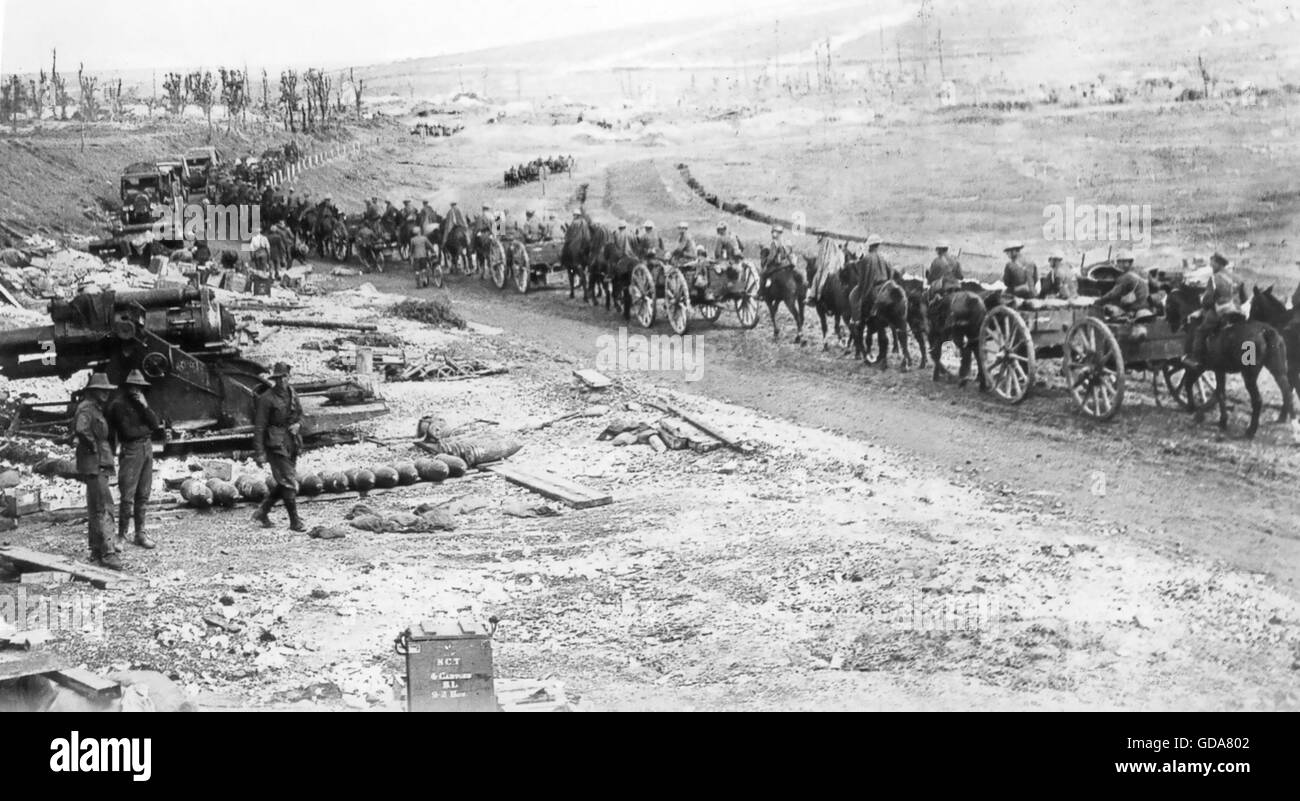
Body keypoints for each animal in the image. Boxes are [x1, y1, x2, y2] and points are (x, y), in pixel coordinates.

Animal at [1170, 284, 1289, 436]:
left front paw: (1202, 412)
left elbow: (1205, 388)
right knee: (1286, 391)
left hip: (1249, 376)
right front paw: (1217, 418)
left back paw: (1251, 431)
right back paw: (1284, 418)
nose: (1173, 326)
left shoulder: (1202, 367)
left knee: (1257, 400)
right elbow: (1218, 391)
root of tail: (1266, 332)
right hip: (1278, 371)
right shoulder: (1217, 370)